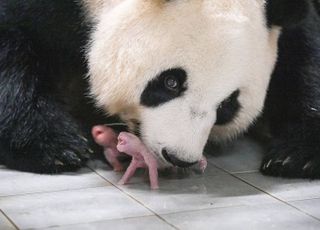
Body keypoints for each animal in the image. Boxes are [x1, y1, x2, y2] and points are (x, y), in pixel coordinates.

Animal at [0, 0, 320, 178]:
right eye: (171, 82)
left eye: (227, 105)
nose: (179, 157)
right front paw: (56, 147)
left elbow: (303, 54)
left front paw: (296, 157)